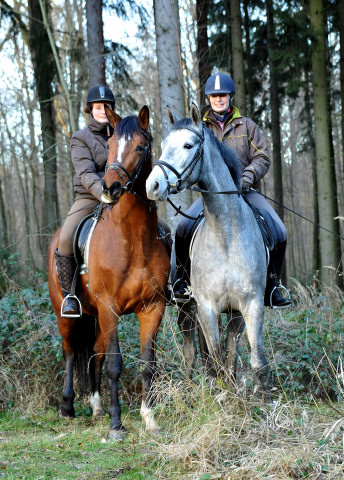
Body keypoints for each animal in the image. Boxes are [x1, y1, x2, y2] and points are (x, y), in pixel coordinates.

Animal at [47, 106, 171, 438]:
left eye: (140, 147)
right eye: (112, 144)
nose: (110, 188)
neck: (133, 240)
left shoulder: (152, 308)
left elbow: (147, 363)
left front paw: (149, 418)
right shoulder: (110, 307)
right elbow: (116, 364)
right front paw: (117, 425)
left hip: (97, 317)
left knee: (94, 353)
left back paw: (96, 406)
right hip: (68, 314)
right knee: (70, 351)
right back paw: (68, 406)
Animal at [145, 106, 272, 404]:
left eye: (188, 145)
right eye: (164, 145)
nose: (152, 185)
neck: (226, 235)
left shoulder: (251, 304)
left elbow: (254, 361)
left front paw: (264, 403)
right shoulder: (206, 306)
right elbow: (213, 359)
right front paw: (221, 399)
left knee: (228, 352)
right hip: (186, 309)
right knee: (192, 355)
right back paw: (192, 391)